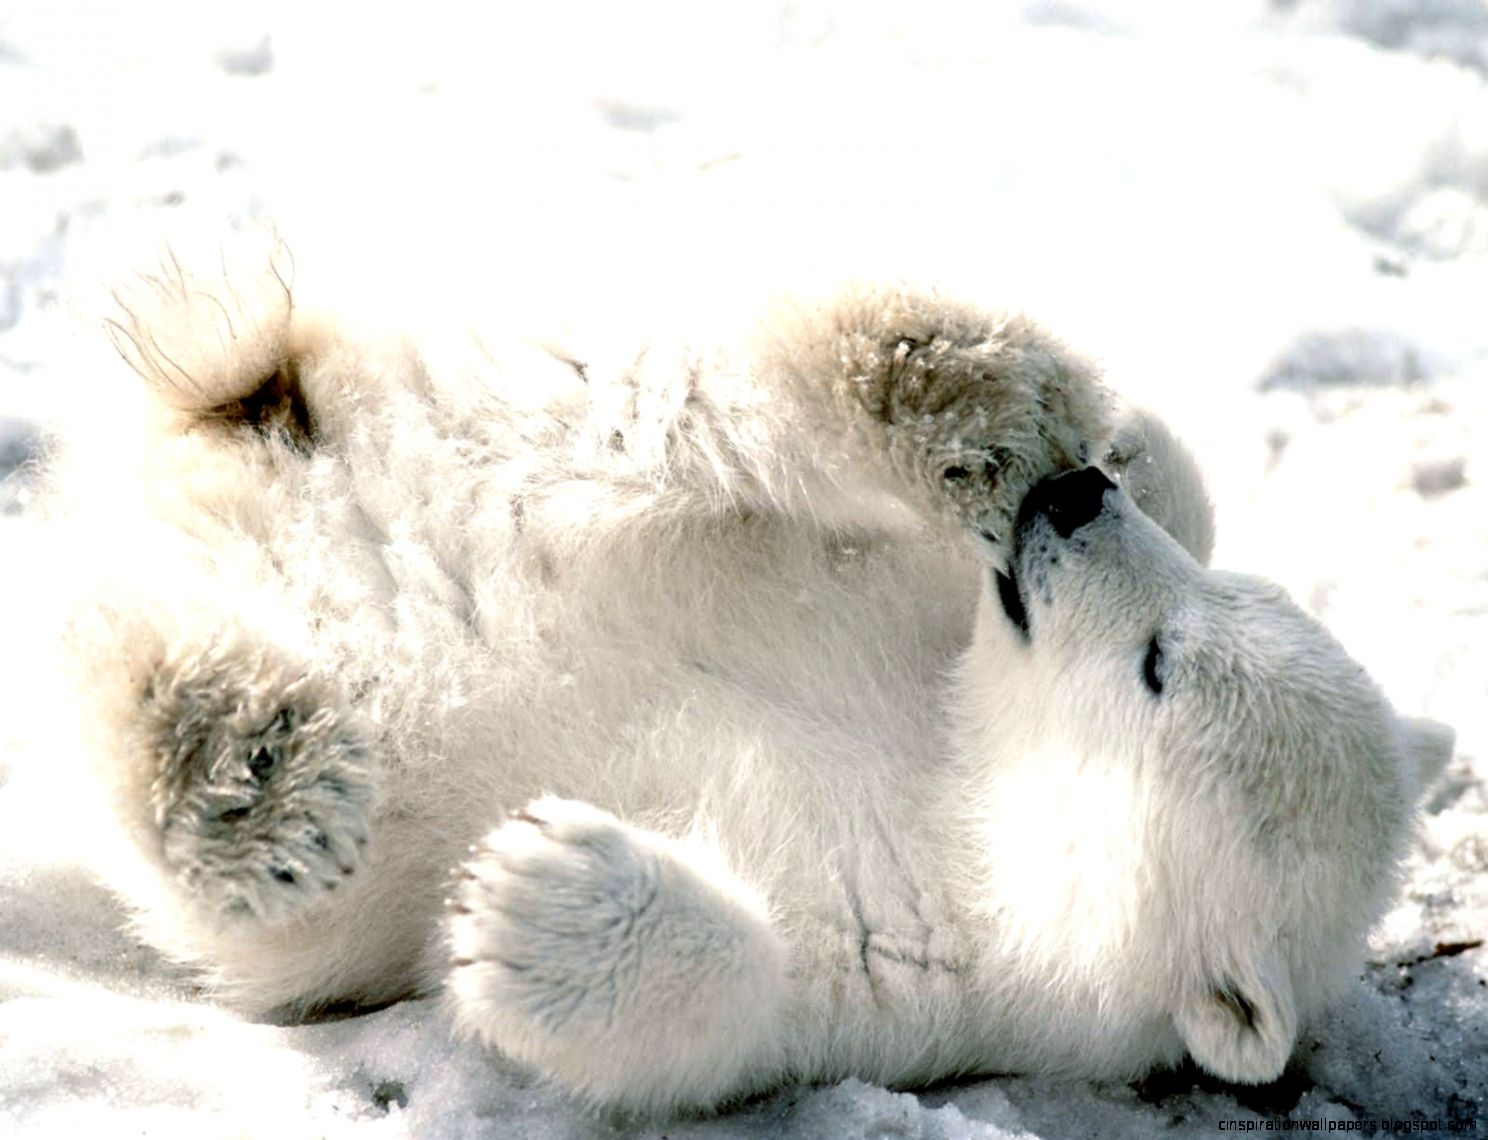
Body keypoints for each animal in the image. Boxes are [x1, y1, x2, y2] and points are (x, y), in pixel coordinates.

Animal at [38, 225, 1452, 1116]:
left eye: (1162, 666)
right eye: (1226, 604)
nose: (1069, 502)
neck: (961, 765)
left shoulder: (937, 970)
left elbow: (738, 1006)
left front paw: (530, 896)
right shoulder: (920, 606)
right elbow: (1165, 486)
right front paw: (1107, 445)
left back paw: (246, 769)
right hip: (514, 419)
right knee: (679, 403)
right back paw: (956, 386)